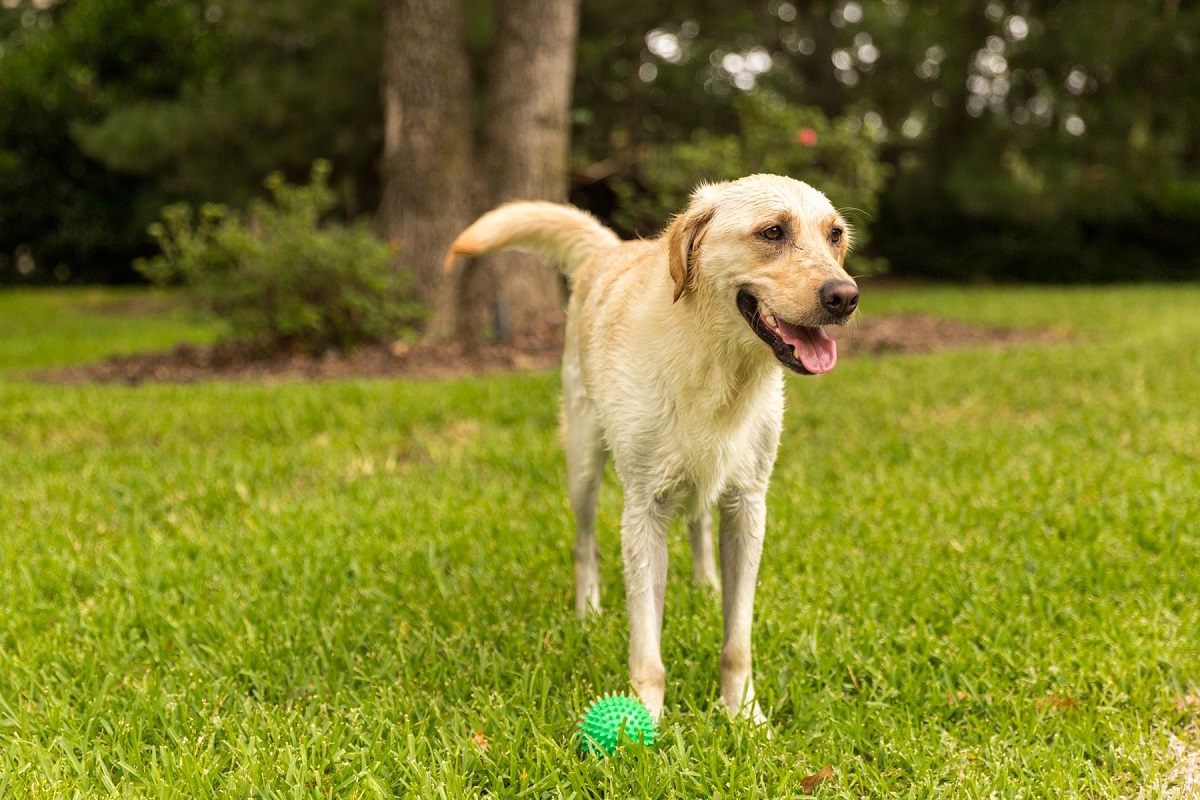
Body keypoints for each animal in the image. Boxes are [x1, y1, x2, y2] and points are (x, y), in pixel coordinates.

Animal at [446, 176, 859, 724]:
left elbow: (738, 641)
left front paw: (743, 714)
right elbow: (647, 647)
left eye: (835, 235)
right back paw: (588, 611)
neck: (717, 369)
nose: (846, 296)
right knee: (584, 545)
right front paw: (642, 721)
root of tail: (610, 247)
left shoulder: (749, 506)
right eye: (773, 232)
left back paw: (705, 588)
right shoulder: (643, 510)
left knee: (699, 523)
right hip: (583, 465)